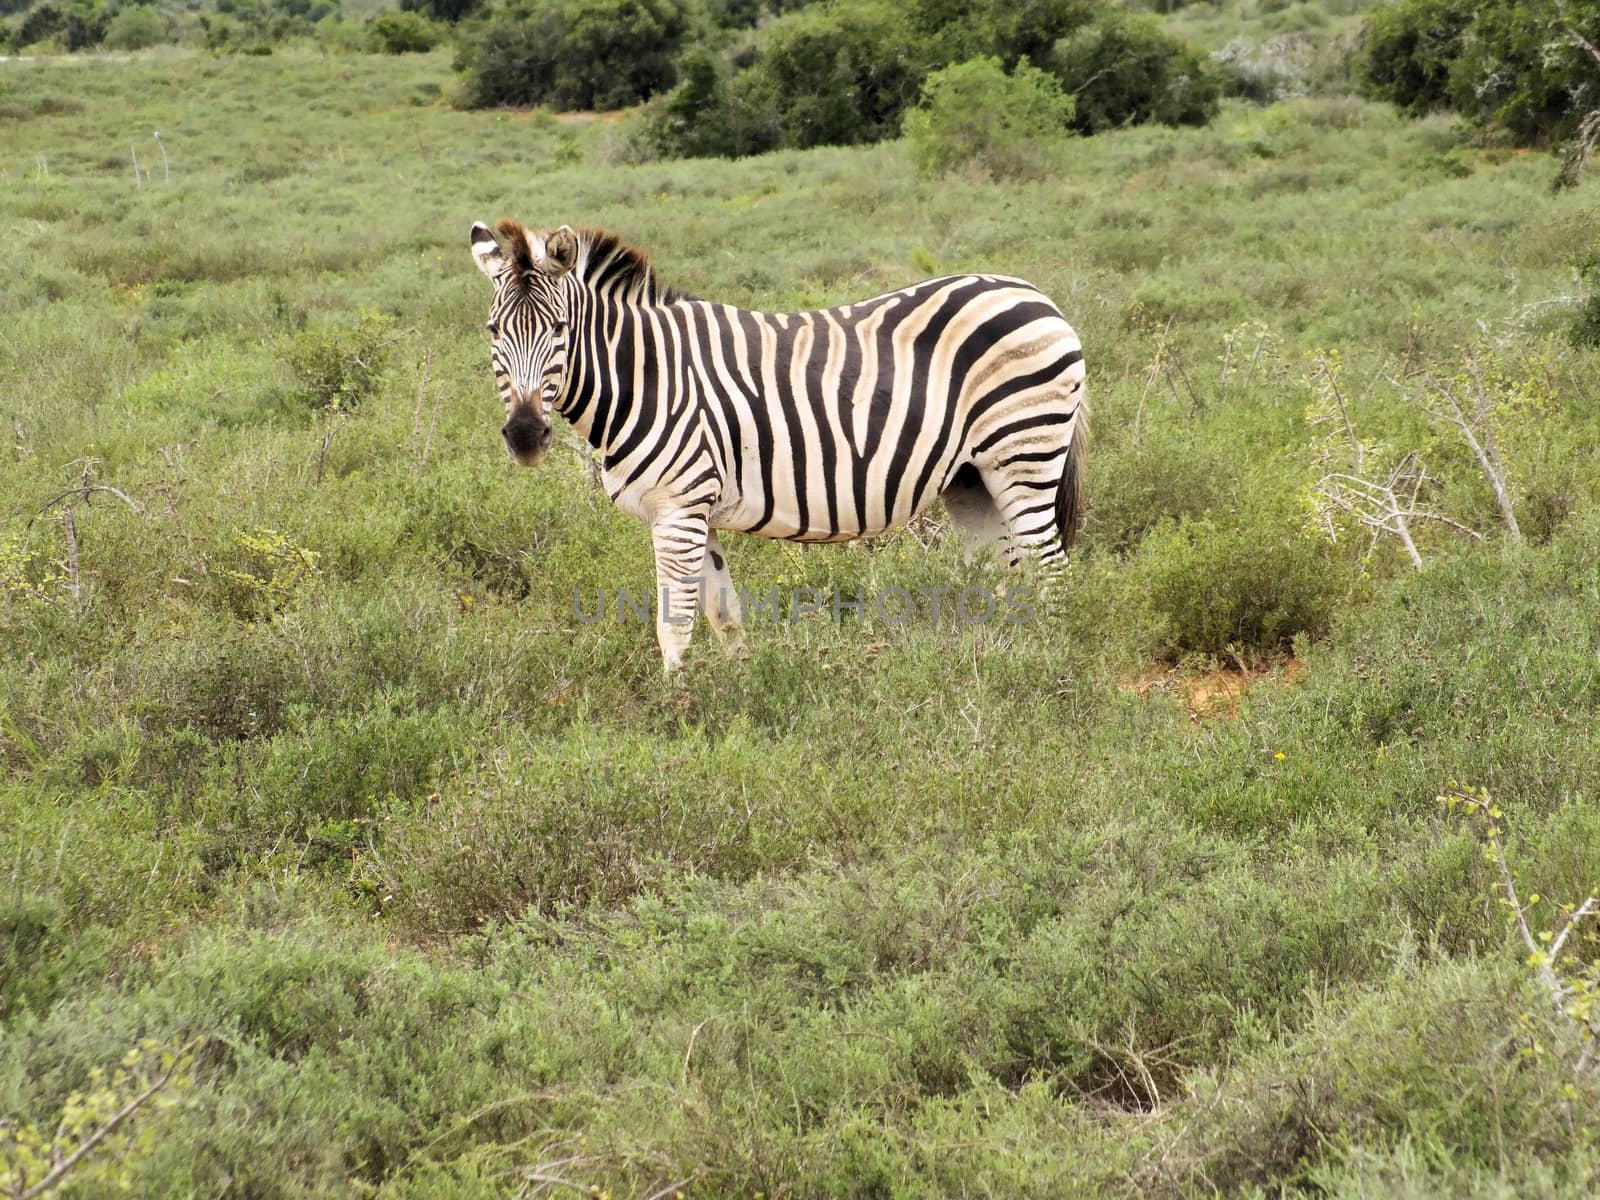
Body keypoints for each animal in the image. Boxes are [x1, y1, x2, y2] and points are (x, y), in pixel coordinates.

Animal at [467, 216, 1088, 668]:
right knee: (1003, 575)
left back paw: (1049, 669)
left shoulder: (679, 509)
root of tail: (1034, 294)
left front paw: (675, 714)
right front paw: (735, 693)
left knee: (1053, 570)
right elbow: (724, 617)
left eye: (559, 330)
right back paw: (996, 661)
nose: (525, 437)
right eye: (495, 331)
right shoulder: (699, 511)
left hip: (1025, 453)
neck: (647, 378)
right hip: (971, 479)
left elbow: (674, 625)